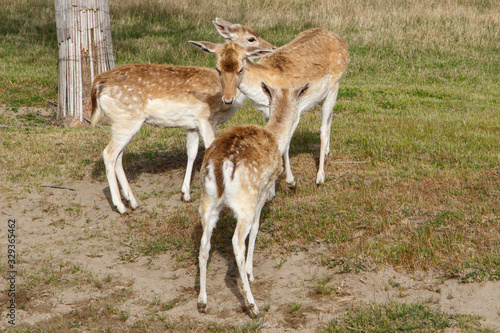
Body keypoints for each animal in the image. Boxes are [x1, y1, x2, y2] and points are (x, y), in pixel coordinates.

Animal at [91, 26, 276, 213]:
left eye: (240, 69)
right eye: (251, 38)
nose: (272, 47)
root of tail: (98, 84)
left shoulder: (192, 124)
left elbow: (191, 152)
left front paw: (185, 194)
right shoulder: (205, 118)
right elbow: (210, 149)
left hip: (122, 122)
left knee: (118, 157)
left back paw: (133, 201)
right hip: (126, 119)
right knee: (108, 154)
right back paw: (120, 206)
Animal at [189, 27, 350, 188]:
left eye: (240, 69)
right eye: (218, 69)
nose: (228, 99)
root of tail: (341, 40)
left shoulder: (293, 109)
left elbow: (287, 142)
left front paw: (291, 181)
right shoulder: (267, 113)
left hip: (334, 86)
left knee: (323, 128)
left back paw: (320, 176)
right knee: (329, 119)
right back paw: (327, 151)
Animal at [196, 80, 308, 316]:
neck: (275, 137)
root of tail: (220, 164)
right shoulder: (262, 190)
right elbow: (256, 227)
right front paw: (249, 271)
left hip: (207, 201)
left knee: (203, 244)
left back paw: (202, 301)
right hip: (244, 200)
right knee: (237, 242)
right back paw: (252, 305)